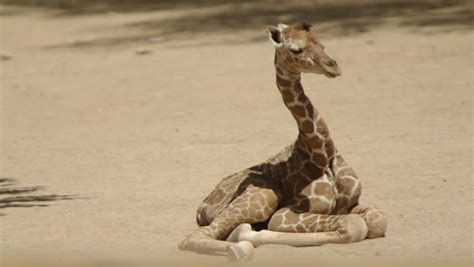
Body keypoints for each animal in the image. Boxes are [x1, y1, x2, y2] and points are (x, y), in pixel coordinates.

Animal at [178, 22, 386, 262]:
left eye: (322, 44)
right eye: (296, 49)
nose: (333, 67)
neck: (320, 152)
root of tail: (202, 207)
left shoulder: (351, 204)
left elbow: (377, 219)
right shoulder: (285, 214)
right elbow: (355, 225)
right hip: (264, 195)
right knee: (193, 237)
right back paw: (240, 246)